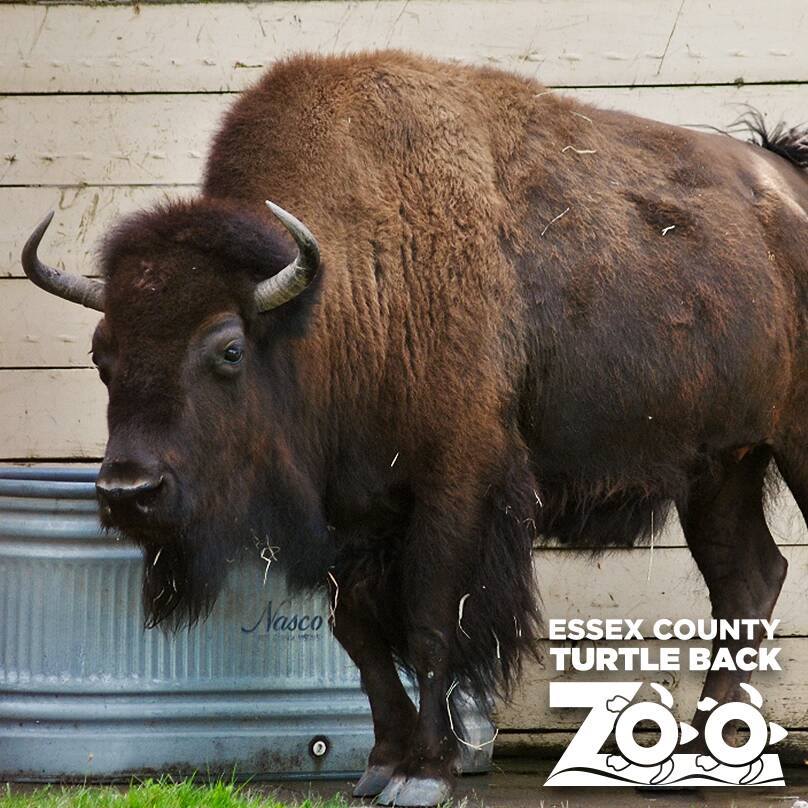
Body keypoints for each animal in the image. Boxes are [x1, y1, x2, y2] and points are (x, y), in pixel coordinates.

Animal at [21, 51, 808, 804]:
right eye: (102, 355)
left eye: (229, 350)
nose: (129, 491)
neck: (341, 296)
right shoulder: (351, 514)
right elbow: (361, 636)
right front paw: (380, 767)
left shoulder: (455, 488)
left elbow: (432, 625)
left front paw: (427, 774)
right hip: (721, 467)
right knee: (747, 578)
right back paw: (702, 755)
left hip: (785, 448)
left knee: (748, 579)